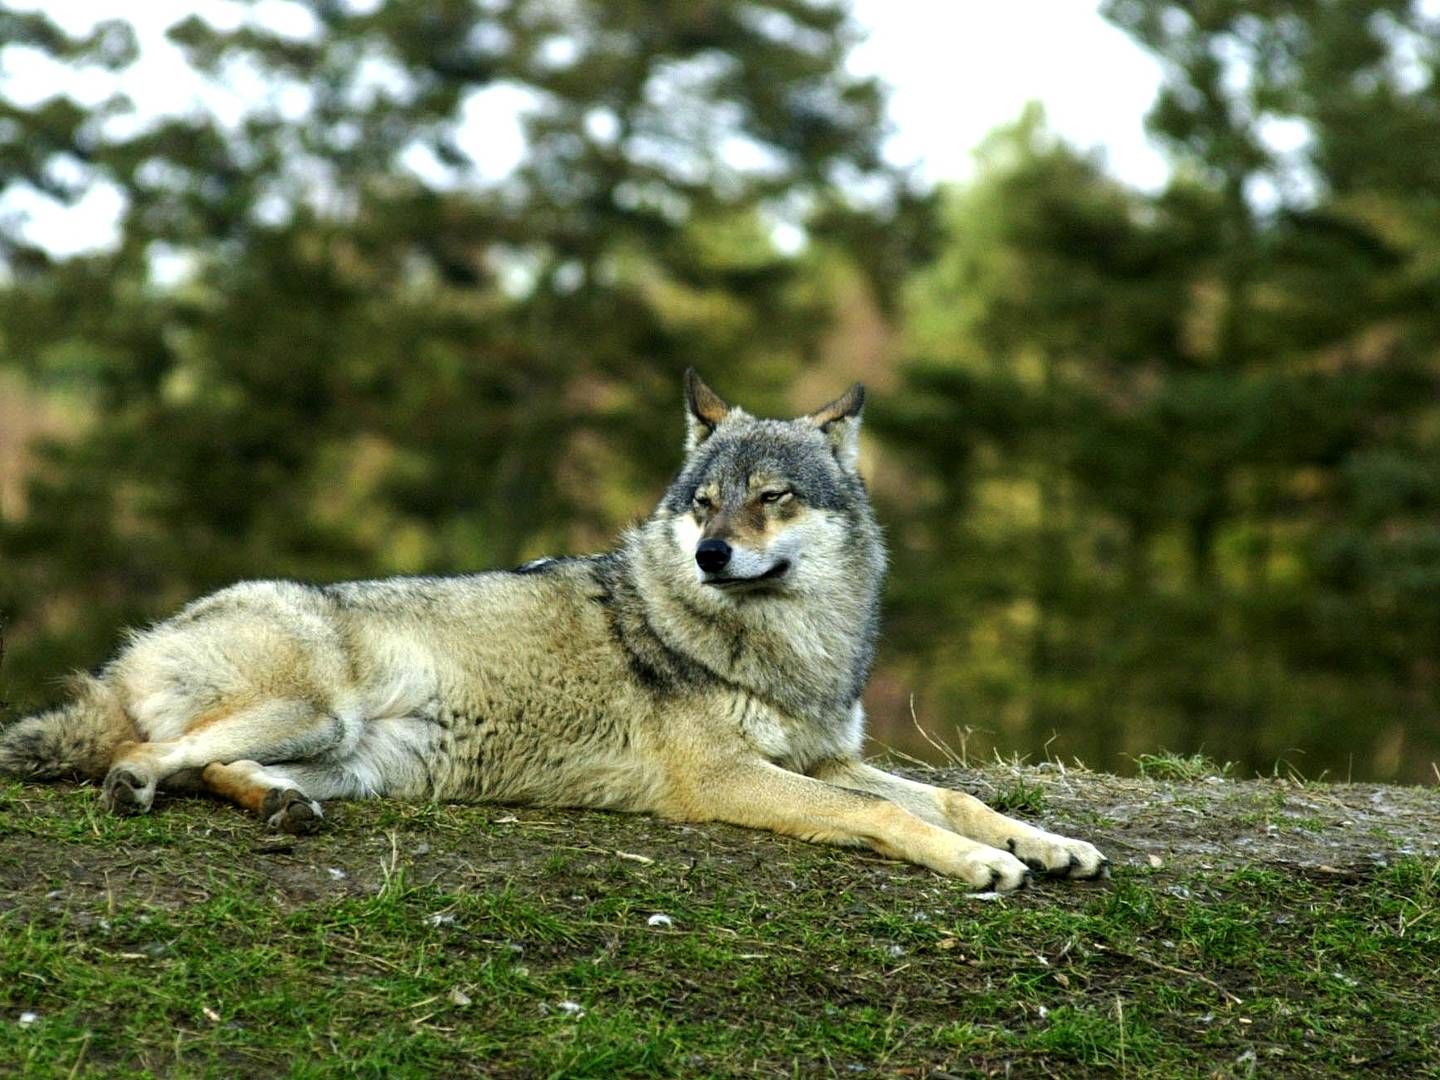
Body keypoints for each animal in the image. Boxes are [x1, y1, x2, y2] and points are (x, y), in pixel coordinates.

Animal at [0, 371, 1105, 887]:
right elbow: (888, 816)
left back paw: (283, 811)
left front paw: (1048, 844)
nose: (712, 556)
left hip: (343, 758)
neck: (787, 652)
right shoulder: (729, 779)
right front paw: (981, 865)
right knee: (147, 756)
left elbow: (953, 796)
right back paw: (142, 785)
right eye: (705, 505)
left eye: (772, 499)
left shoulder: (823, 759)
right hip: (307, 709)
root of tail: (131, 651)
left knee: (222, 772)